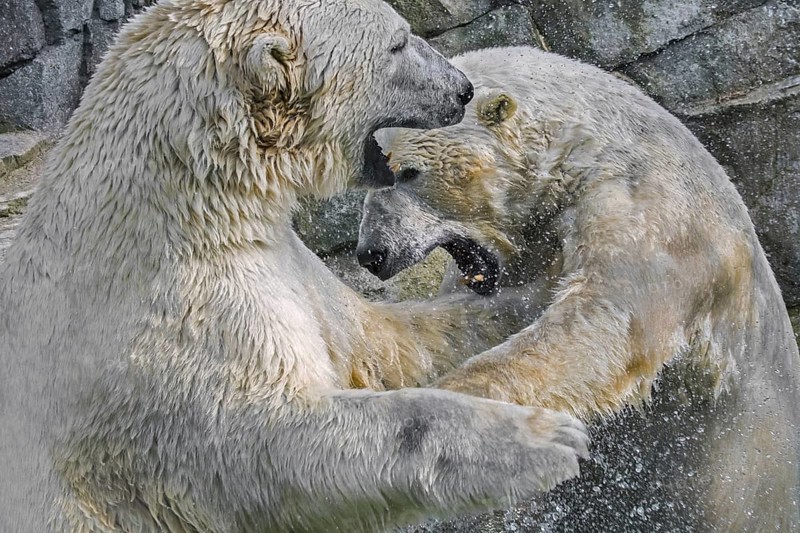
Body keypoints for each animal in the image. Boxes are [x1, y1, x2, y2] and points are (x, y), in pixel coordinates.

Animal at [0, 7, 590, 533]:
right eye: (398, 42)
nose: (463, 88)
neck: (190, 203)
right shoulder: (171, 311)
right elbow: (269, 441)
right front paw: (548, 438)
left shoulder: (282, 260)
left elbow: (383, 342)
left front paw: (538, 291)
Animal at [357, 46, 800, 531]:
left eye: (408, 171)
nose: (370, 253)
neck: (584, 147)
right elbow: (472, 321)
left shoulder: (652, 211)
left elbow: (605, 322)